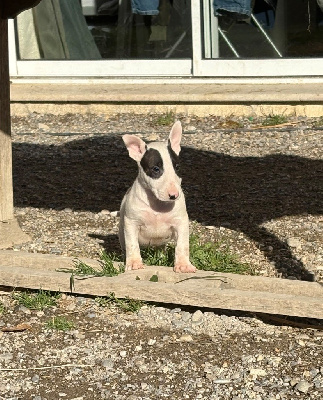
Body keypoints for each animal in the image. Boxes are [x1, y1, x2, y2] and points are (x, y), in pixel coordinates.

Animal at [118, 120, 196, 274]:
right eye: (156, 169)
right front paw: (134, 263)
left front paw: (183, 265)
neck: (157, 204)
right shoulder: (131, 223)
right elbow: (132, 244)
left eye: (177, 167)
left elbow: (182, 244)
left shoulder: (181, 222)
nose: (174, 195)